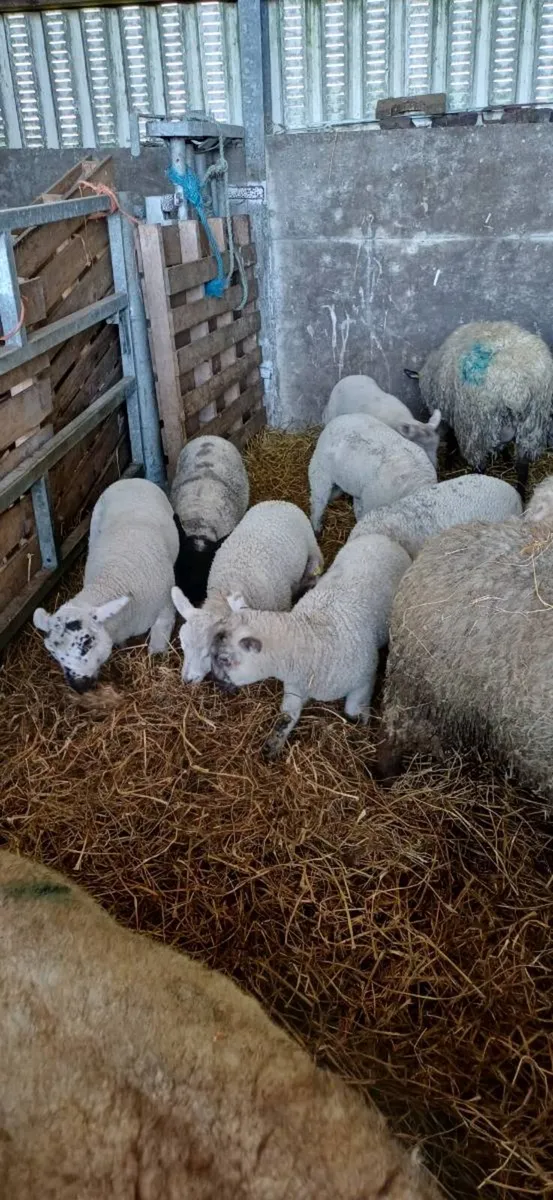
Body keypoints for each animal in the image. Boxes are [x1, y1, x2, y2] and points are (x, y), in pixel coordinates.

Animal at [33, 478, 179, 692]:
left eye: (86, 643)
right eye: (52, 652)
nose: (78, 686)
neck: (112, 579)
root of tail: (129, 480)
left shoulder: (165, 610)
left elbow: (158, 644)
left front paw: (157, 660)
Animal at [171, 500, 323, 683]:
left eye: (207, 653)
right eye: (182, 645)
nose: (187, 680)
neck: (225, 591)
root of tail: (280, 502)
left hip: (312, 549)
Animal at [211, 534, 411, 758]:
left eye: (225, 659)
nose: (214, 682)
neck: (310, 638)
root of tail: (382, 538)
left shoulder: (365, 679)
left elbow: (353, 711)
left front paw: (363, 724)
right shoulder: (295, 687)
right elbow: (287, 716)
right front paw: (273, 744)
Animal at [405, 320, 553, 499]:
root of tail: (516, 387)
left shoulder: (451, 411)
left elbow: (451, 437)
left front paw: (448, 462)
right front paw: (506, 459)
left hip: (477, 427)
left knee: (480, 464)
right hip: (532, 425)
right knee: (523, 467)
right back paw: (521, 495)